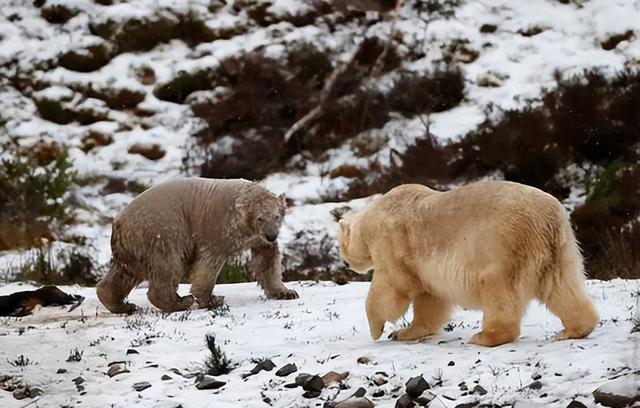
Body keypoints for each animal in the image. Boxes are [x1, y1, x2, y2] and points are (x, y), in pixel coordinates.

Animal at [96, 177, 298, 314]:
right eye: (260, 218)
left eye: (276, 216)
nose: (271, 235)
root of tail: (119, 222)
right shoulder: (218, 228)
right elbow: (209, 262)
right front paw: (212, 299)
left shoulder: (256, 237)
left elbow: (267, 260)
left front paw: (287, 292)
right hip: (164, 229)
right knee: (168, 265)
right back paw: (180, 302)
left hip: (132, 245)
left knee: (124, 272)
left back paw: (122, 305)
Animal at [340, 182, 600, 348]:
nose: (346, 264)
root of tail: (548, 219)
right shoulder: (426, 267)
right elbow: (430, 300)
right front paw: (404, 332)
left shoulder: (392, 243)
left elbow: (391, 288)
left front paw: (377, 330)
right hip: (559, 250)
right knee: (561, 287)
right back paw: (574, 329)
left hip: (502, 246)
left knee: (500, 292)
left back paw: (485, 336)